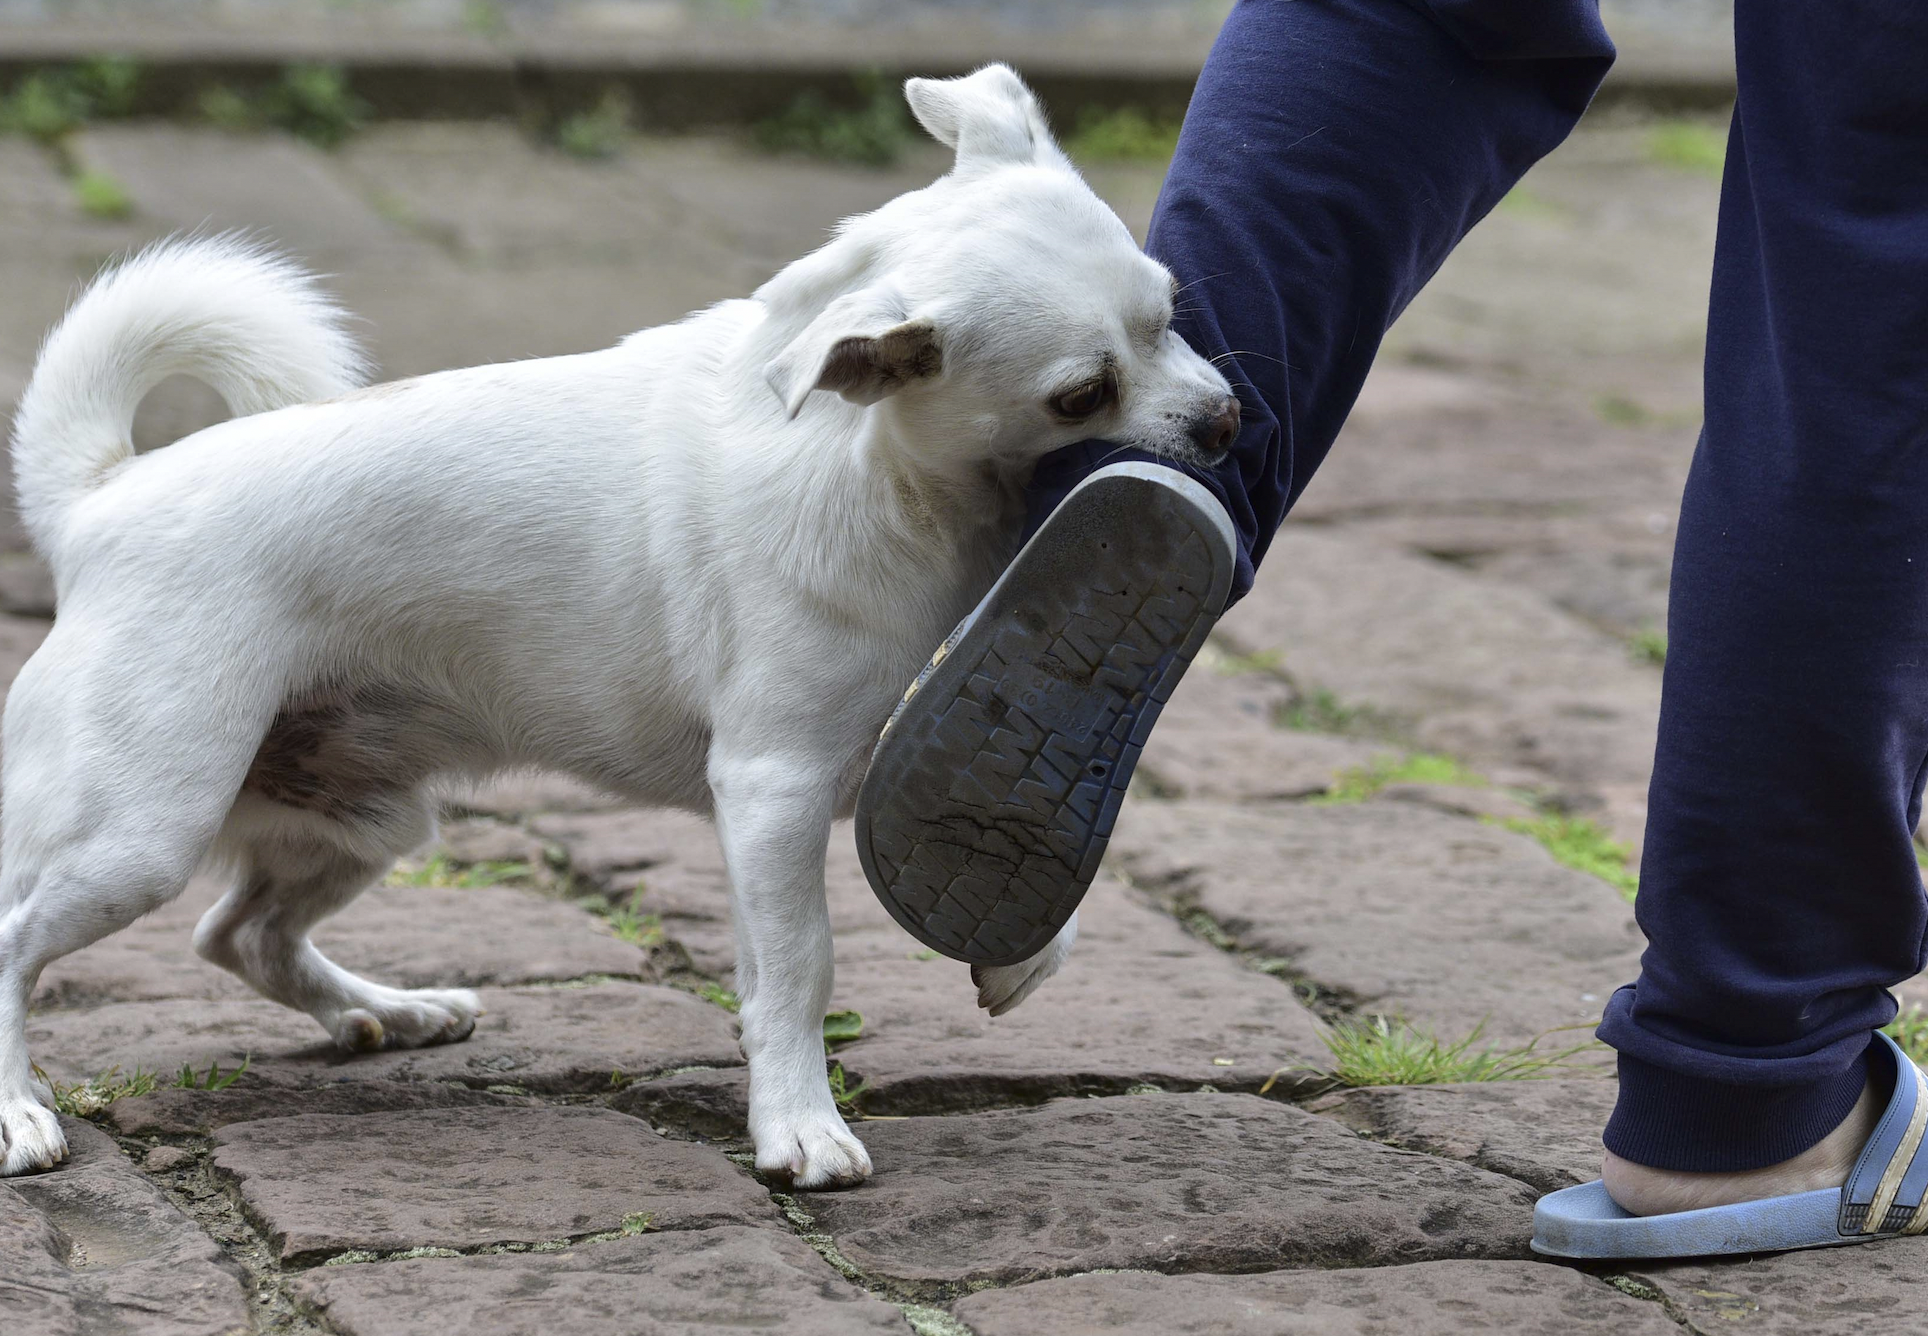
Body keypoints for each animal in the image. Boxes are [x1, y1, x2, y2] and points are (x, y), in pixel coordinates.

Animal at [0, 67, 1233, 1179]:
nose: (1226, 421)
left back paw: (386, 1011)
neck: (895, 475)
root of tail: (99, 499)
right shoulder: (774, 789)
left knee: (238, 931)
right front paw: (800, 1127)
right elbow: (799, 969)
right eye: (1081, 395)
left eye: (1171, 313)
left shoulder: (904, 763)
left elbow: (1025, 838)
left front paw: (1017, 954)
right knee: (22, 938)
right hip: (144, 832)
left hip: (363, 816)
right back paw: (20, 1116)